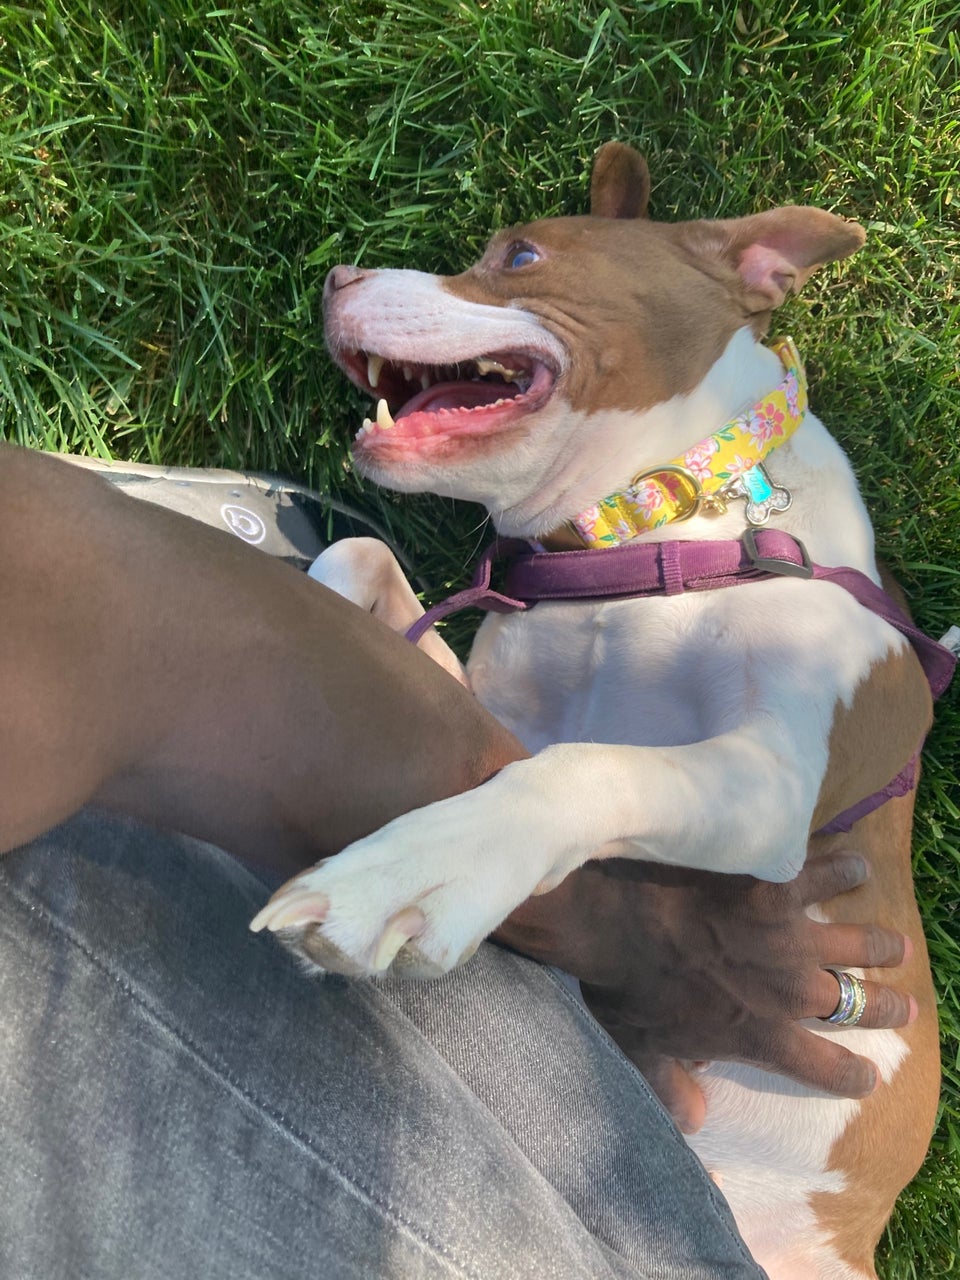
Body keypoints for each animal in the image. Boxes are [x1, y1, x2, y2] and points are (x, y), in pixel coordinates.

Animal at [250, 144, 953, 1277]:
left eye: (521, 255)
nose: (334, 278)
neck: (655, 523)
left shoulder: (770, 781)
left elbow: (593, 766)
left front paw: (422, 867)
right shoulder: (502, 717)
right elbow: (355, 555)